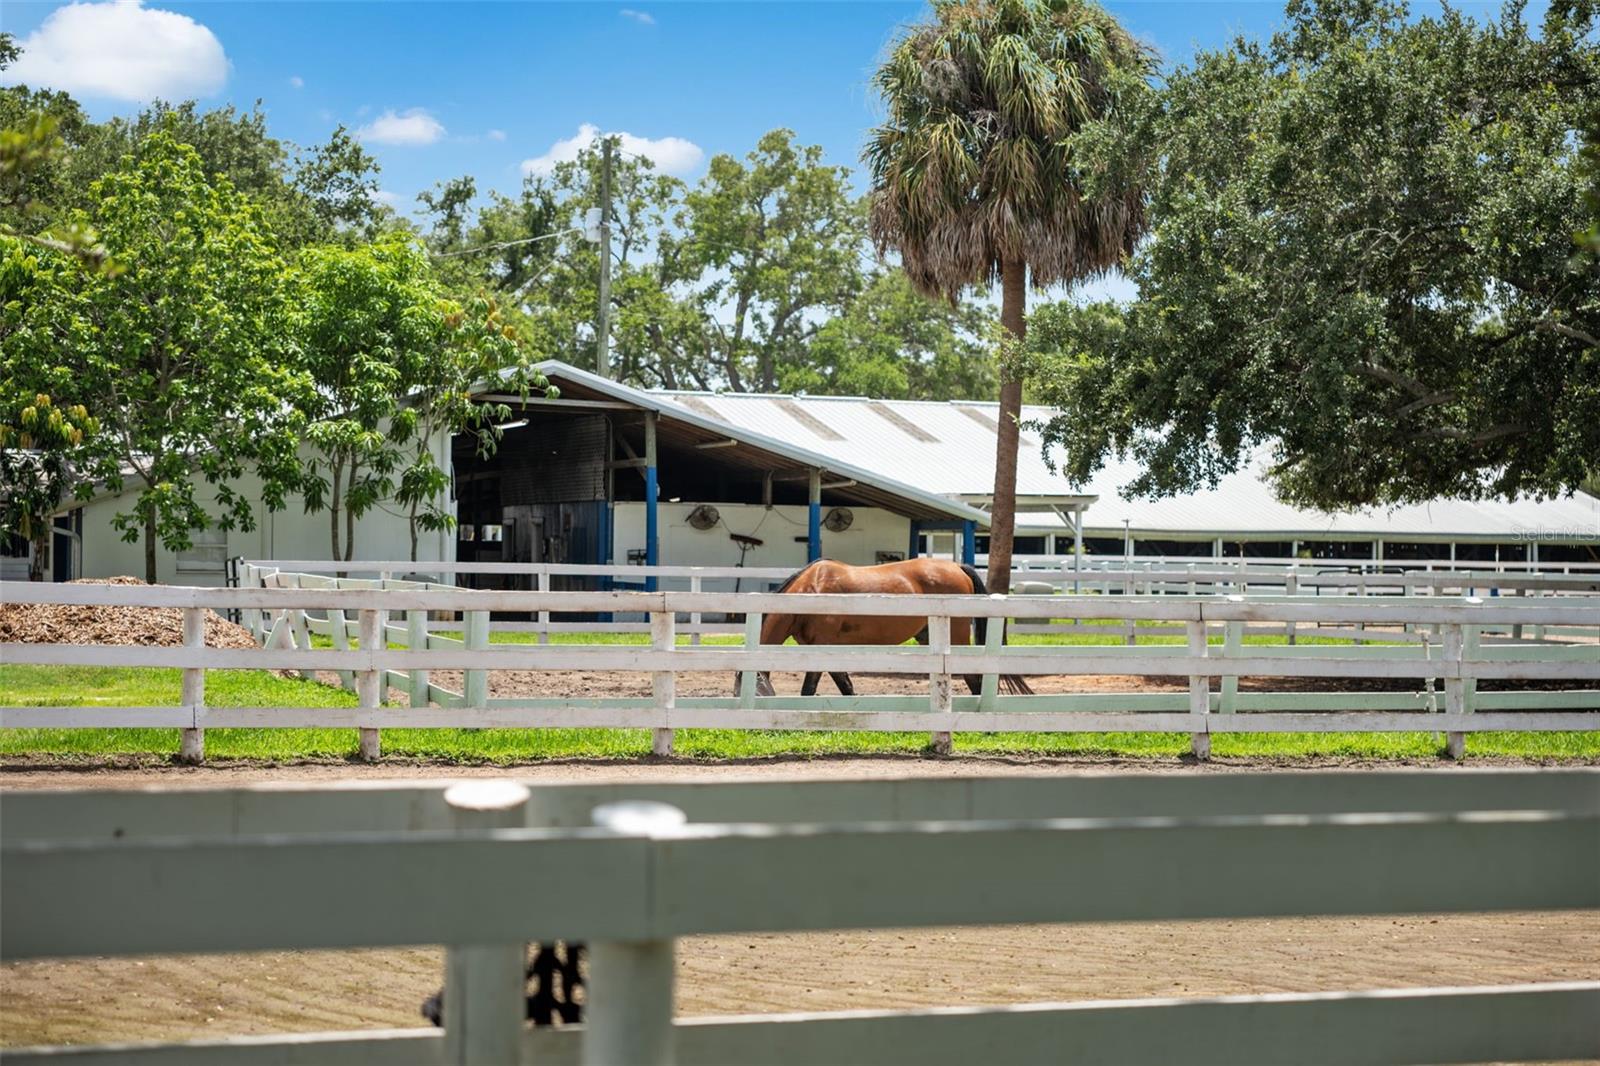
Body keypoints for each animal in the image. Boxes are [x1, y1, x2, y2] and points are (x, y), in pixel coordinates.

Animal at [748, 557, 1036, 697]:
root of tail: (957, 566)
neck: (811, 590)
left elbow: (808, 690)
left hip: (956, 637)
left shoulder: (821, 649)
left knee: (974, 679)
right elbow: (846, 687)